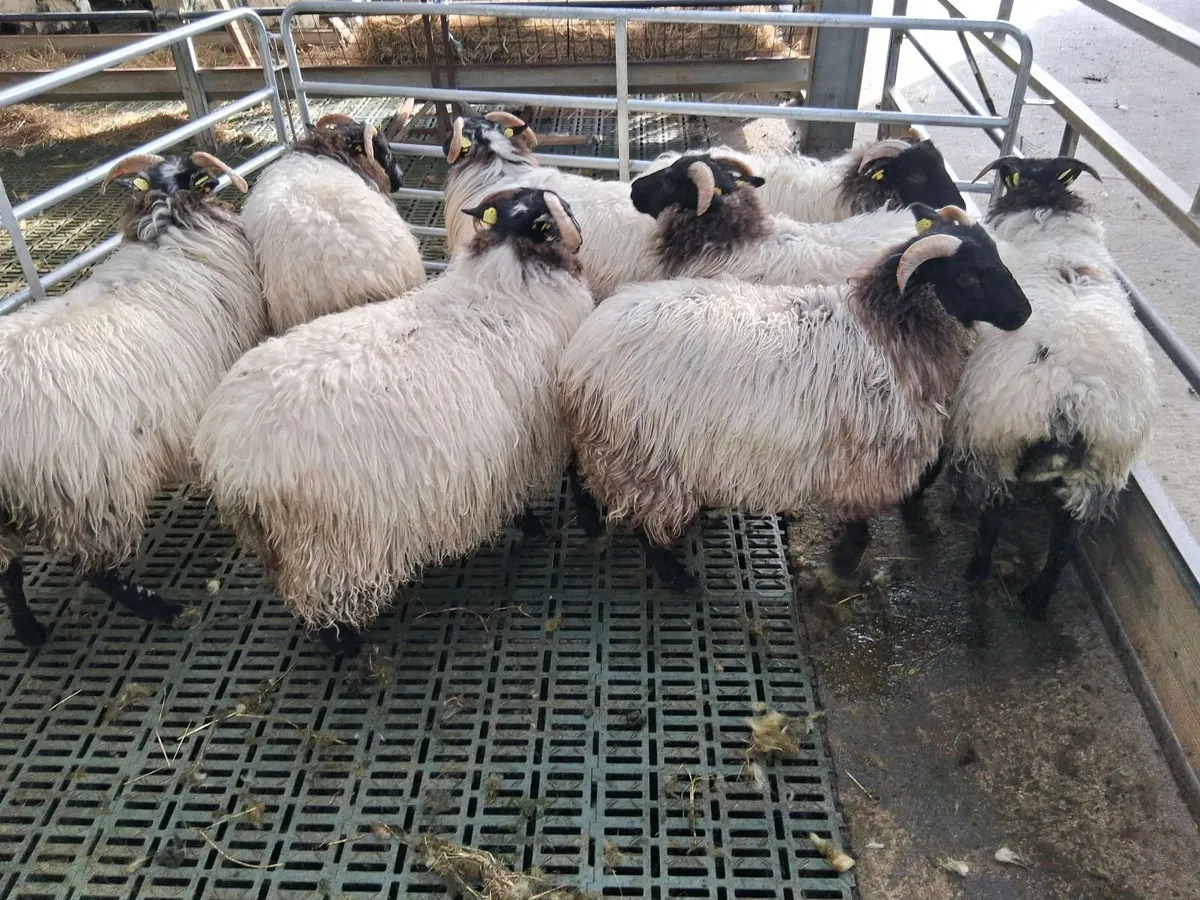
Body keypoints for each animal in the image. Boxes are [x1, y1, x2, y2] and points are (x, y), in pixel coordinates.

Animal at [0, 151, 266, 647]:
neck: (166, 228)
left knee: (8, 572)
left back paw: (29, 631)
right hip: (86, 492)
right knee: (94, 569)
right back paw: (159, 607)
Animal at [193, 187, 593, 653]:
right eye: (550, 217)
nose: (577, 224)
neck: (508, 282)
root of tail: (229, 458)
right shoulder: (527, 444)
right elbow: (523, 500)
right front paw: (533, 528)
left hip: (278, 544)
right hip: (326, 545)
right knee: (321, 599)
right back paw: (344, 645)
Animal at [558, 208, 1031, 591]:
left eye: (999, 259)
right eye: (968, 276)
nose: (1023, 313)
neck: (892, 330)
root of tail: (582, 349)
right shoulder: (867, 463)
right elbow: (862, 523)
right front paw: (843, 566)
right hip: (642, 454)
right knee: (641, 521)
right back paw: (676, 577)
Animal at [949, 155, 1158, 615]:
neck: (1047, 212)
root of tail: (1072, 395)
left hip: (999, 442)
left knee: (996, 511)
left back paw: (976, 569)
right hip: (1101, 467)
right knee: (1067, 535)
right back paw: (1039, 598)